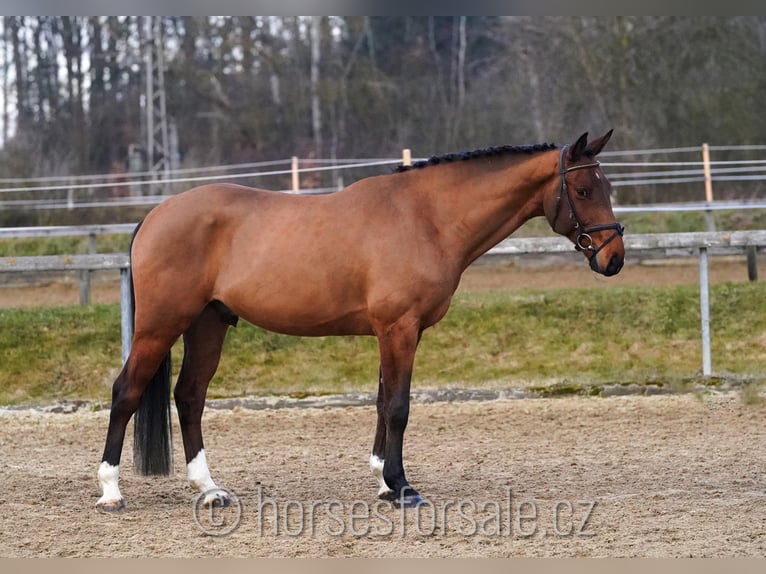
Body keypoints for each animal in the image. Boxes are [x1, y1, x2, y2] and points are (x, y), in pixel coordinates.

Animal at [96, 130, 624, 512]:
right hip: (160, 326)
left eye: (607, 187)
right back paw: (111, 491)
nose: (614, 258)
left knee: (190, 396)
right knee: (127, 392)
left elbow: (382, 401)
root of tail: (156, 214)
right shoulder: (399, 329)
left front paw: (385, 483)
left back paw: (209, 489)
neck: (426, 217)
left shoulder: (395, 332)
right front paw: (403, 487)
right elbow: (399, 407)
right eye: (582, 189)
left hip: (208, 324)